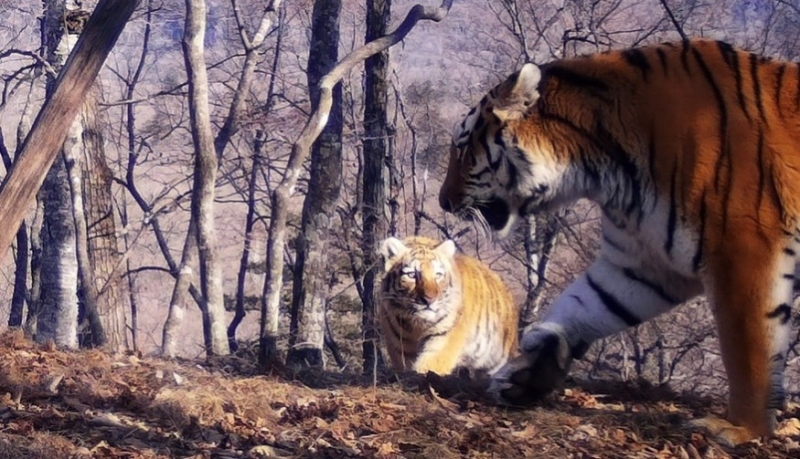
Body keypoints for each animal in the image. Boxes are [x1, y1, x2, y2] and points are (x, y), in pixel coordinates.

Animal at [380, 237, 520, 378]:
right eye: (412, 275)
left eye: (438, 275)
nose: (429, 300)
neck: (416, 326)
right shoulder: (400, 348)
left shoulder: (442, 344)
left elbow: (426, 369)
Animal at [438, 39, 800, 446]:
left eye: (463, 149)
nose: (443, 201)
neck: (602, 168)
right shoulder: (644, 262)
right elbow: (585, 303)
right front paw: (530, 373)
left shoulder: (742, 249)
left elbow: (749, 348)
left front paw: (740, 428)